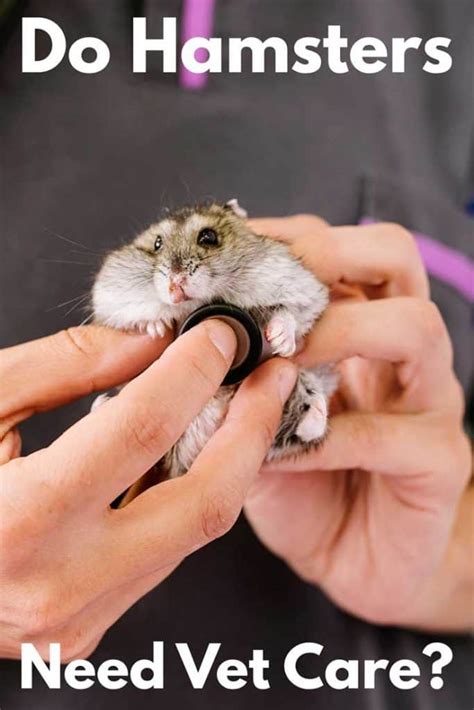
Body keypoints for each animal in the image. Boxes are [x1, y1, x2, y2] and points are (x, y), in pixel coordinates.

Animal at [92, 199, 336, 478]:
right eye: (157, 244)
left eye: (208, 237)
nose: (176, 282)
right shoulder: (109, 300)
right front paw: (156, 328)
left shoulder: (303, 289)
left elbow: (291, 312)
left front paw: (280, 341)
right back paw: (102, 404)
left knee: (303, 431)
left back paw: (315, 409)